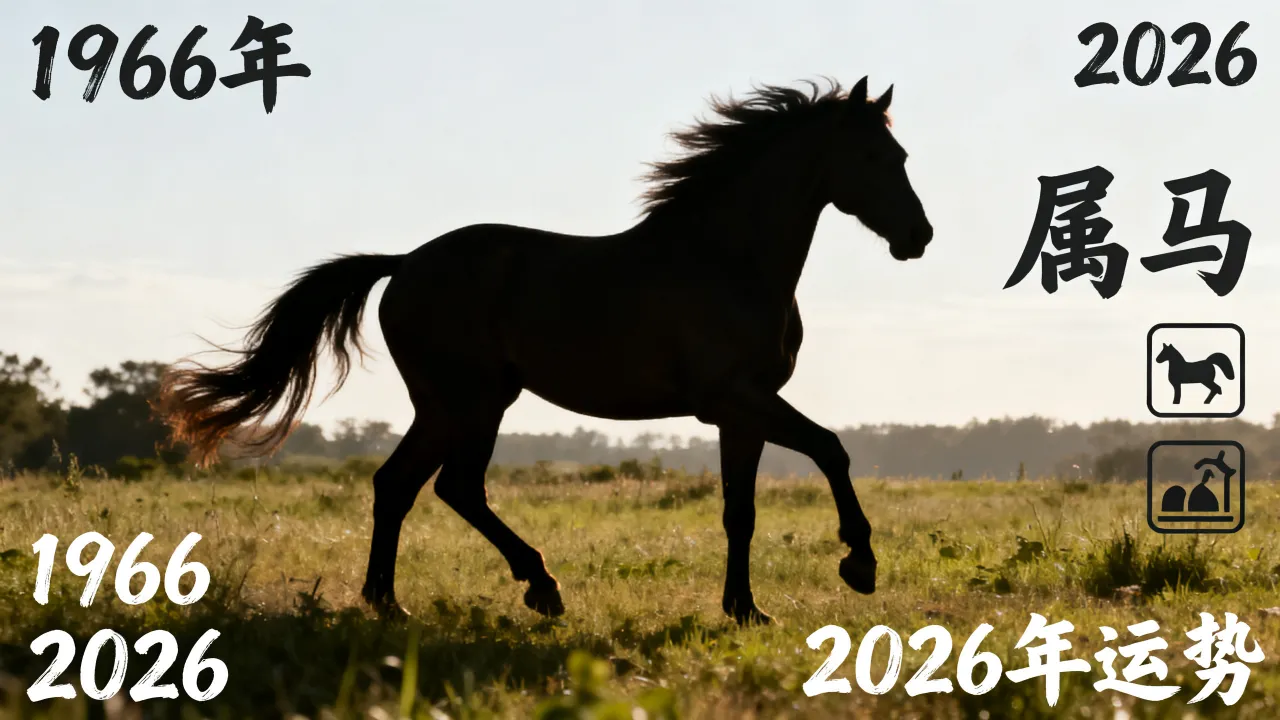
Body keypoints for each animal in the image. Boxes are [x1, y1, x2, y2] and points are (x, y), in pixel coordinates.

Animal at [155, 76, 934, 626]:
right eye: (875, 156)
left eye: (900, 155)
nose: (918, 238)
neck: (727, 261)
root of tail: (404, 263)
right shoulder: (738, 399)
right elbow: (832, 447)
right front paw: (859, 564)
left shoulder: (740, 414)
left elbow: (738, 512)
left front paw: (746, 609)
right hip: (472, 400)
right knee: (449, 486)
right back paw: (539, 588)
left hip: (452, 404)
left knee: (400, 485)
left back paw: (392, 603)